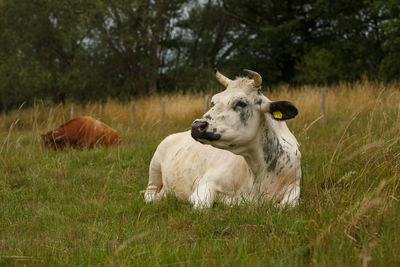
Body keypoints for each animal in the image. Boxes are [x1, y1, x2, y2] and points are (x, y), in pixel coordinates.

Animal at [144, 69, 300, 209]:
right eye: (213, 102)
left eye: (241, 103)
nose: (196, 125)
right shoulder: (204, 185)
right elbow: (202, 206)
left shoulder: (295, 184)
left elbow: (289, 205)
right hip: (154, 168)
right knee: (149, 195)